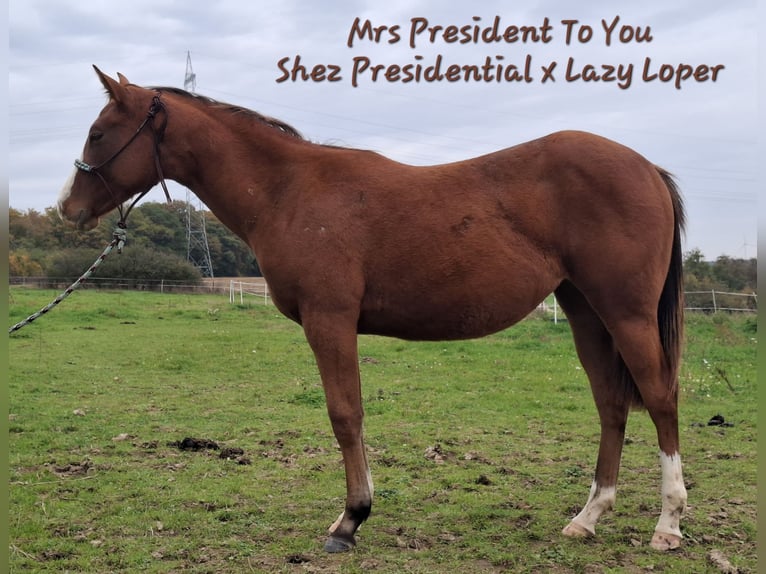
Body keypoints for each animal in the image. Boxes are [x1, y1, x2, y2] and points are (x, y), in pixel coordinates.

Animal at [58, 66, 687, 553]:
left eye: (98, 132)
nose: (69, 207)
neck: (288, 190)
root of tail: (648, 169)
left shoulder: (330, 321)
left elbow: (345, 415)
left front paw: (350, 519)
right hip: (586, 313)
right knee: (612, 404)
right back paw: (588, 518)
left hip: (625, 314)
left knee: (659, 398)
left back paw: (668, 524)